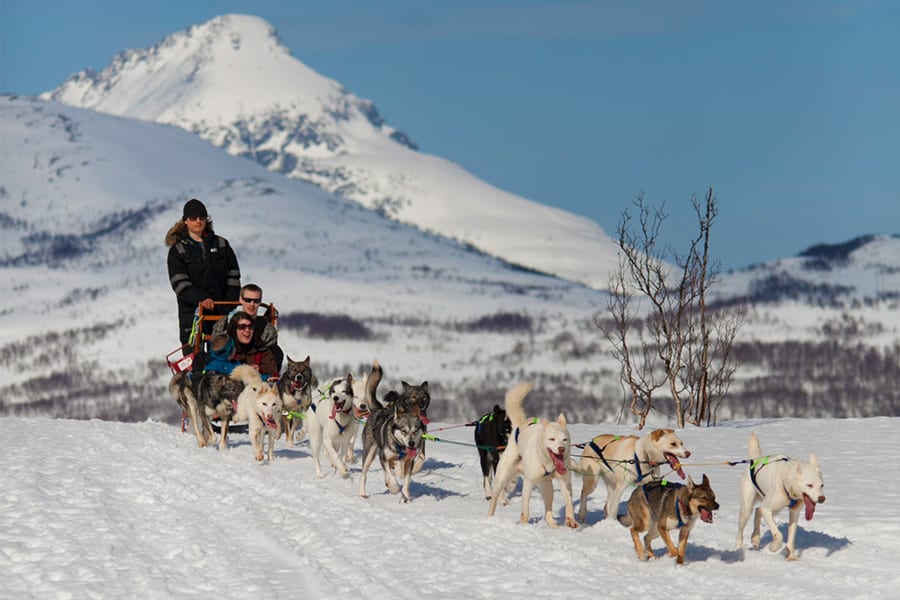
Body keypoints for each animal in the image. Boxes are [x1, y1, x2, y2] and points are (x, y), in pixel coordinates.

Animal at [486, 382, 576, 528]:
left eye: (564, 439)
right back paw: (489, 518)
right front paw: (524, 526)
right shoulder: (528, 483)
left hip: (547, 488)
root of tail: (520, 425)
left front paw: (570, 519)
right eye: (552, 439)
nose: (561, 449)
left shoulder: (565, 483)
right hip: (502, 478)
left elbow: (569, 503)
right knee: (494, 500)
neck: (547, 463)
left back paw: (553, 525)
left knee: (548, 510)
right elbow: (525, 510)